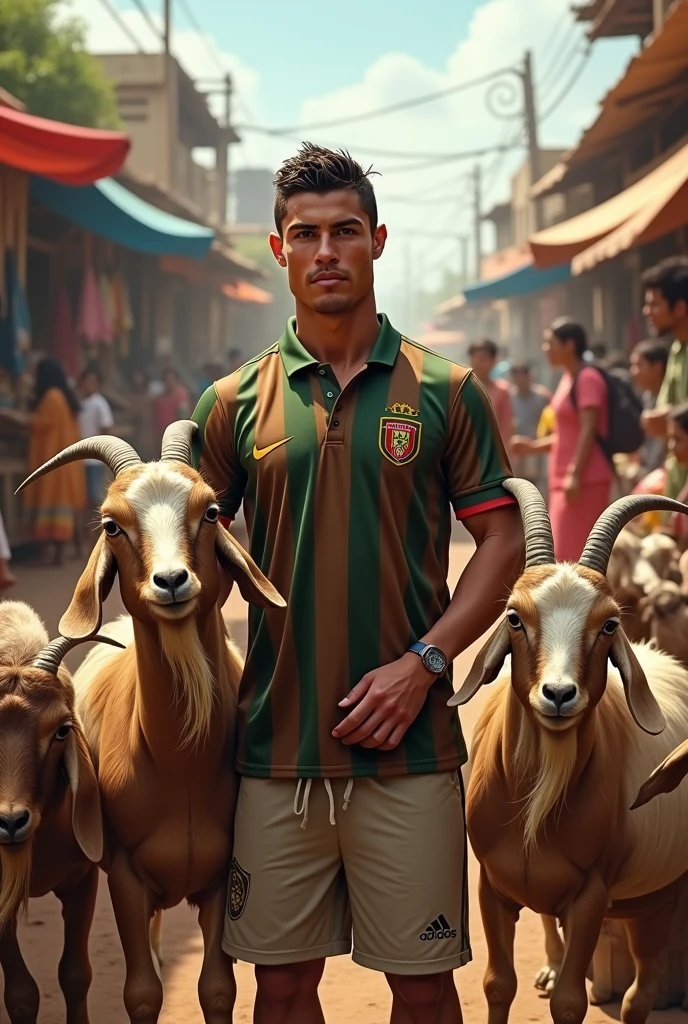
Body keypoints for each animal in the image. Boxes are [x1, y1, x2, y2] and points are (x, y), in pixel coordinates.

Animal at [19, 425, 284, 1024]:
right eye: (112, 525)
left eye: (211, 511)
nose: (171, 581)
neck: (179, 765)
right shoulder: (122, 874)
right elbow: (142, 993)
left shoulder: (222, 876)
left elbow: (217, 989)